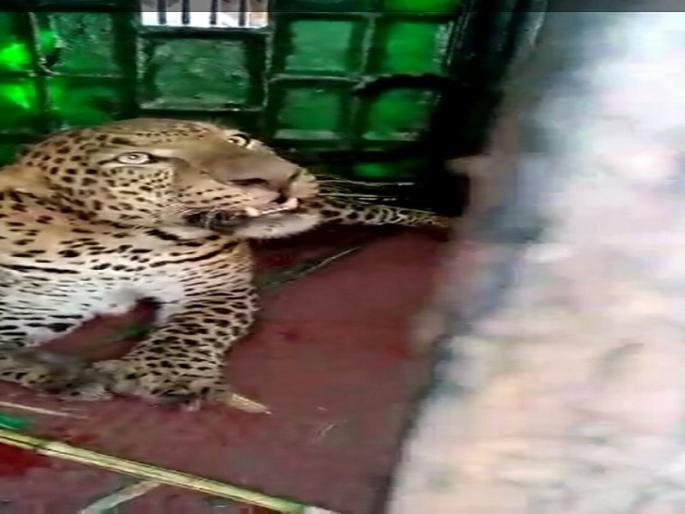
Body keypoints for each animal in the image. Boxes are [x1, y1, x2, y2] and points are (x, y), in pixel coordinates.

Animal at [0, 118, 450, 410]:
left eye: (240, 139)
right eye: (136, 160)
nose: (282, 176)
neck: (116, 244)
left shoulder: (217, 286)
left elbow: (193, 330)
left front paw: (163, 374)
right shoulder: (33, 304)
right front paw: (63, 373)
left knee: (388, 211)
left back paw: (445, 222)